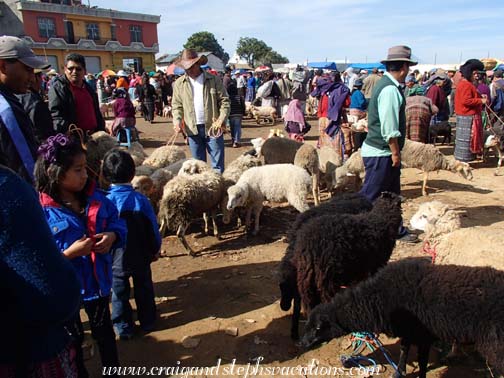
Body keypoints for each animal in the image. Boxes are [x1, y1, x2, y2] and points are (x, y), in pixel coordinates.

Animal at [302, 258, 504, 378]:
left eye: (318, 328)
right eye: (308, 324)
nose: (301, 344)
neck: (380, 297)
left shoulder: (423, 335)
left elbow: (421, 361)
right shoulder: (409, 331)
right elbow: (404, 350)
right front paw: (399, 372)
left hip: (496, 344)